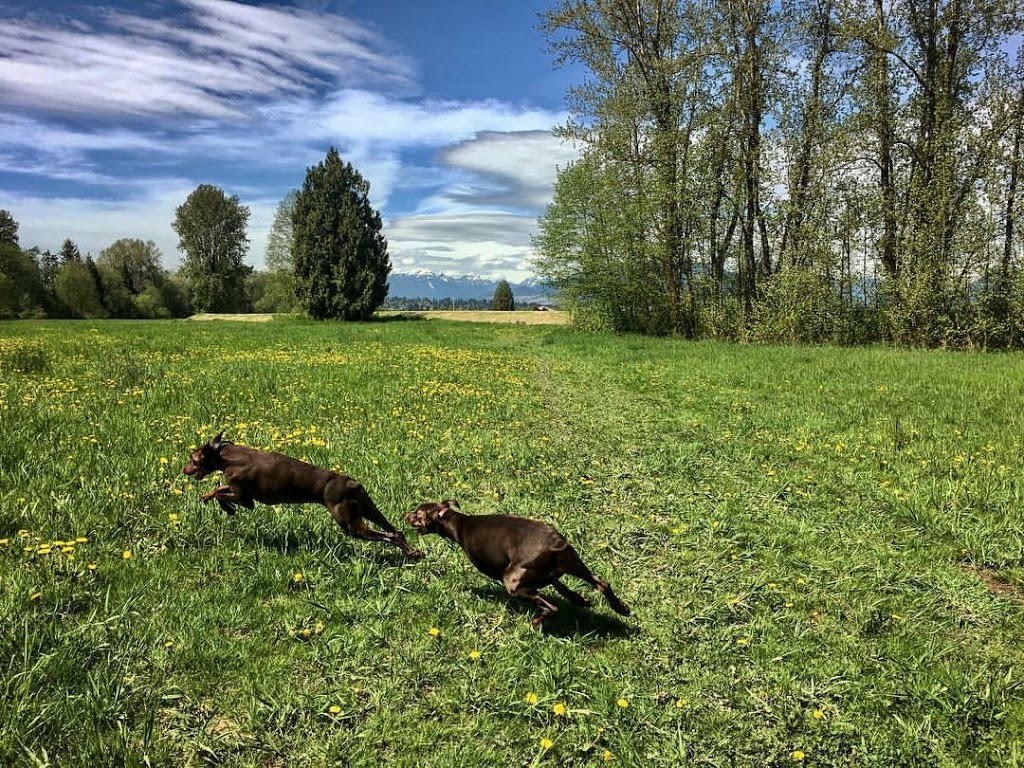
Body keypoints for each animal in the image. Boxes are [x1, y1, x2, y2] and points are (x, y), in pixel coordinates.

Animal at [183, 434, 419, 561]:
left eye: (193, 459)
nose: (184, 469)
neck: (226, 456)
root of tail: (352, 483)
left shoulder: (246, 499)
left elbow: (219, 493)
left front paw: (227, 508)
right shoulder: (238, 491)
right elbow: (218, 490)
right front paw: (213, 500)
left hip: (349, 523)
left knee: (387, 535)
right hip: (368, 509)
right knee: (395, 531)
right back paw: (413, 553)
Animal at [403, 501, 626, 626]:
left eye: (416, 514)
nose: (405, 515)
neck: (457, 523)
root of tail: (555, 544)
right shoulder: (548, 575)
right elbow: (563, 588)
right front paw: (580, 600)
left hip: (512, 582)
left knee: (551, 608)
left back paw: (535, 624)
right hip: (574, 563)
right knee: (602, 584)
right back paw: (622, 609)